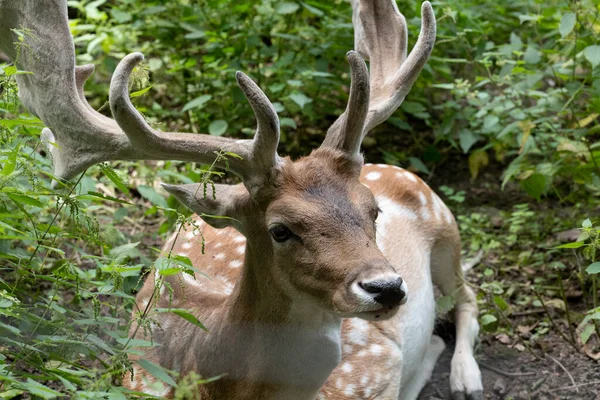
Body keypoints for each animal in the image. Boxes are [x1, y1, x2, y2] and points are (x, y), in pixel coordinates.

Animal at [0, 0, 486, 398]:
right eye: (280, 229)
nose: (386, 287)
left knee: (468, 297)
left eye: (373, 211)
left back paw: (466, 378)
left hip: (443, 222)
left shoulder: (372, 366)